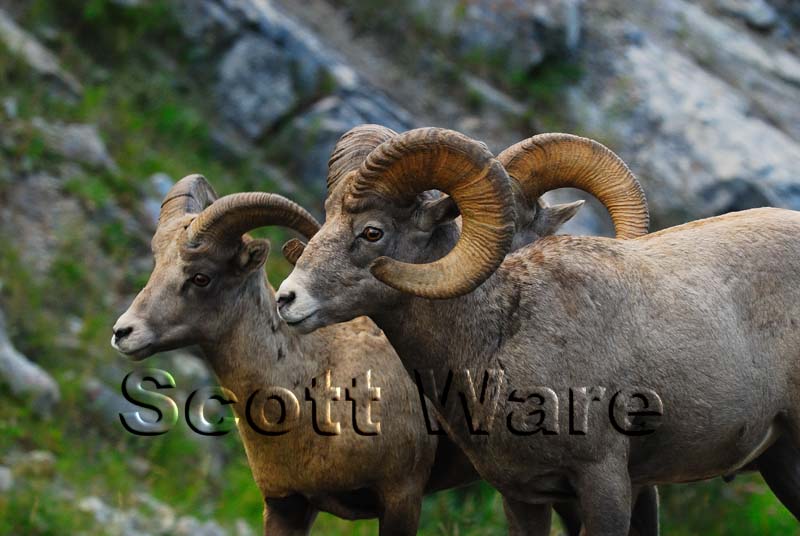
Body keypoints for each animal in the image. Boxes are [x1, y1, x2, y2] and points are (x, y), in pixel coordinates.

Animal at [110, 173, 592, 535]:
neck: (315, 388)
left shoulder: (400, 498)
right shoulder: (285, 506)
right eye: (157, 264)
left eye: (202, 277)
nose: (123, 333)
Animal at [276, 126, 800, 534]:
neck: (502, 336)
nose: (287, 299)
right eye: (328, 217)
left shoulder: (606, 483)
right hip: (782, 463)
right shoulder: (525, 496)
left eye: (372, 231)